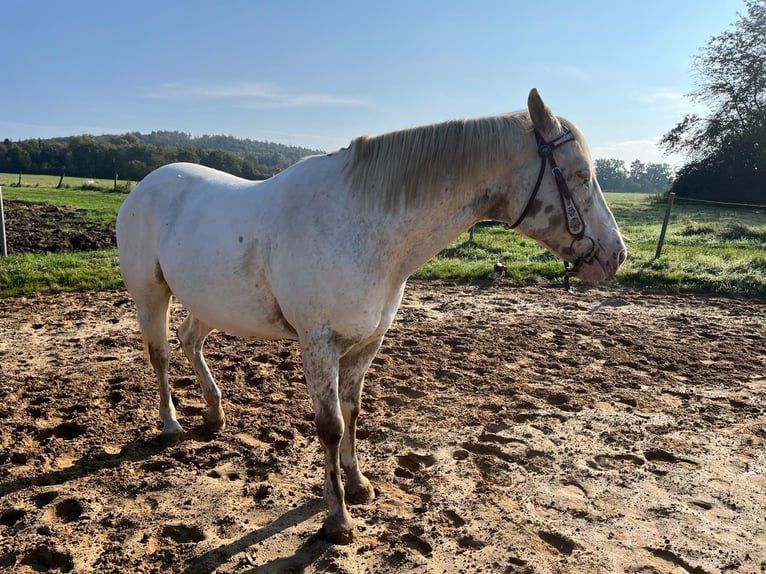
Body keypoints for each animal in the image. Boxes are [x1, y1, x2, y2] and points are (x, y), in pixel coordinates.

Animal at [116, 88, 627, 543]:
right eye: (580, 174)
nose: (615, 255)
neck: (363, 224)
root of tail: (146, 185)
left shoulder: (366, 344)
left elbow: (352, 411)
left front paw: (358, 484)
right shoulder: (318, 344)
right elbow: (329, 425)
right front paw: (337, 519)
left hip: (209, 302)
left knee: (190, 339)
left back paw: (215, 414)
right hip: (151, 295)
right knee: (161, 353)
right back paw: (170, 425)